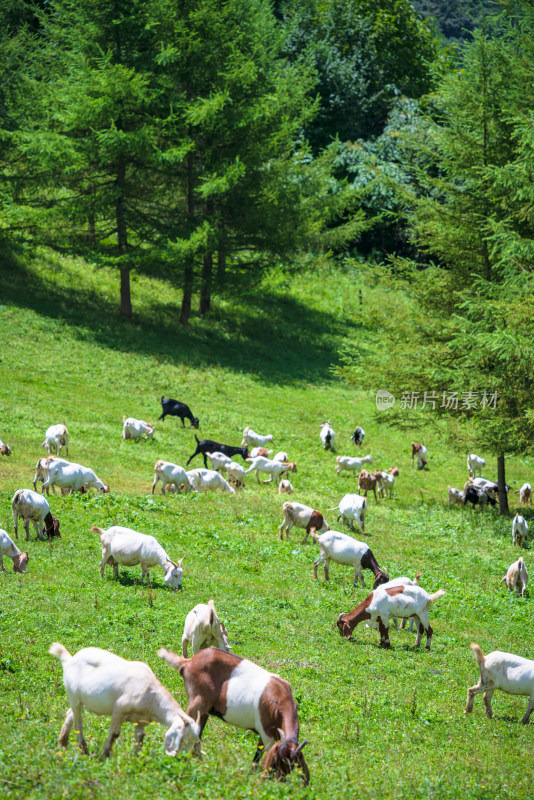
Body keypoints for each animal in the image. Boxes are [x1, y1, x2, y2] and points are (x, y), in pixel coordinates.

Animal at [49, 640, 201, 760]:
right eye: (182, 739)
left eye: (194, 742)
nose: (181, 758)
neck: (151, 694)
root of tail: (69, 659)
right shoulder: (119, 710)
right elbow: (115, 734)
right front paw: (105, 755)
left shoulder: (141, 720)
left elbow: (140, 737)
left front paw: (139, 759)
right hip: (73, 696)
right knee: (78, 721)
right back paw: (83, 750)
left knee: (70, 714)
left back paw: (62, 744)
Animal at [157, 648, 310, 784]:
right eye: (278, 762)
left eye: (292, 766)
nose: (280, 782)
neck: (281, 701)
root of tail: (188, 662)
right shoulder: (267, 734)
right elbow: (263, 753)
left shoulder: (267, 733)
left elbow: (257, 753)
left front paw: (250, 774)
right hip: (197, 702)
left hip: (204, 711)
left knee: (197, 734)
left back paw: (199, 762)